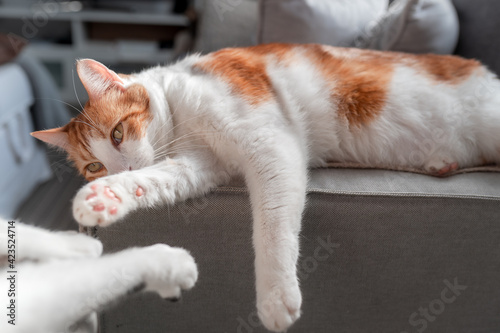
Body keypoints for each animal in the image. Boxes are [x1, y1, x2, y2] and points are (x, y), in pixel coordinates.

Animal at [32, 42, 500, 330]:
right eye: (95, 166)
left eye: (117, 134)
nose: (116, 168)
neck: (181, 114)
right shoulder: (199, 166)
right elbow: (152, 180)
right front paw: (106, 195)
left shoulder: (270, 143)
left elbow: (272, 226)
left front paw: (276, 296)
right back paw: (442, 162)